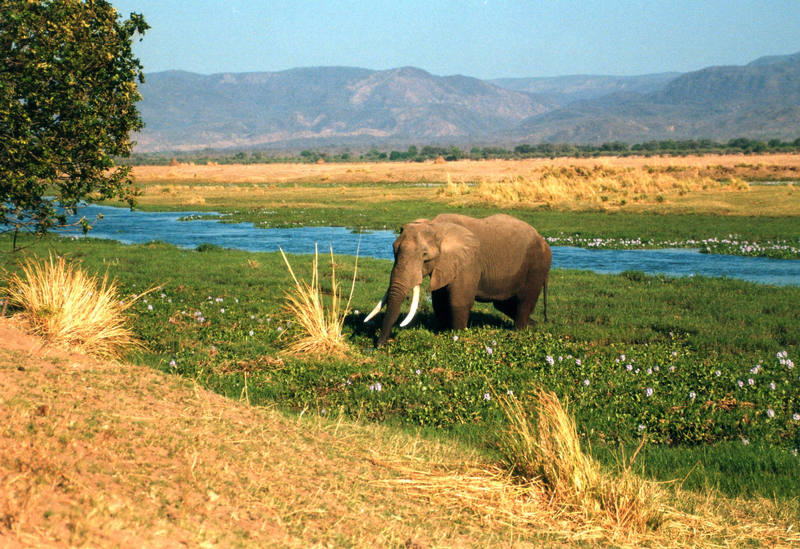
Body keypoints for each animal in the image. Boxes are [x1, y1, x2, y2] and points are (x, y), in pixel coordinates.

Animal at [368, 212, 552, 344]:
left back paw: (520, 331)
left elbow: (458, 301)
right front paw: (441, 332)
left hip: (537, 265)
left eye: (425, 256)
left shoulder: (468, 263)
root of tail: (544, 240)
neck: (436, 227)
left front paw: (456, 336)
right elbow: (439, 301)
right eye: (393, 249)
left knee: (524, 301)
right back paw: (533, 325)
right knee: (503, 304)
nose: (379, 345)